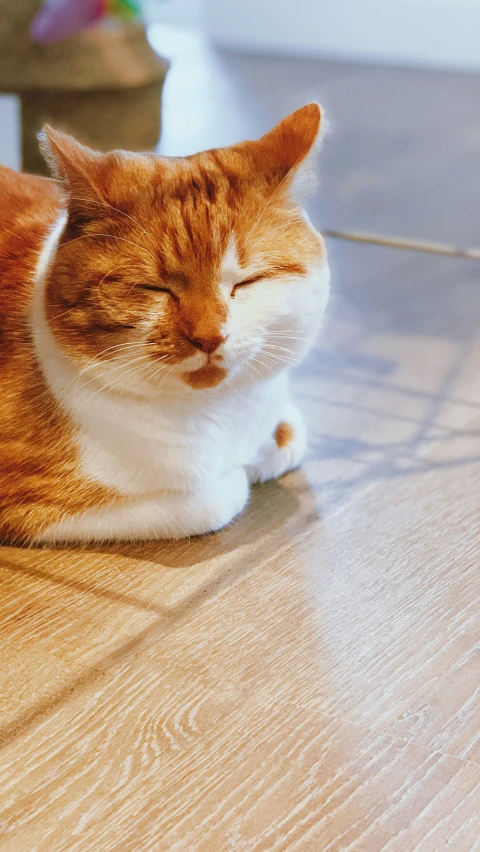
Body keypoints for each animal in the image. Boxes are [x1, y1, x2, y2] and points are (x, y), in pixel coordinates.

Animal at [0, 103, 330, 544]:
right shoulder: (38, 505)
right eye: (154, 288)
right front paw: (239, 473)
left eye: (245, 282)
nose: (209, 337)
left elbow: (288, 434)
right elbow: (213, 500)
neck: (216, 413)